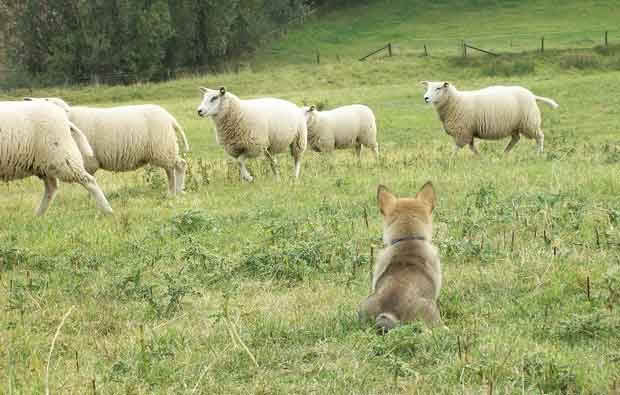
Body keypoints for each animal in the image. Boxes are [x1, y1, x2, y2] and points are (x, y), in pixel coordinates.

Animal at [24, 98, 189, 196]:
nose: (26, 100)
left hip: (163, 148)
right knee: (171, 170)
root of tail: (170, 118)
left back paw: (176, 192)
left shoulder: (88, 161)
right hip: (165, 149)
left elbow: (89, 180)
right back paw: (173, 192)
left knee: (179, 165)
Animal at [422, 81, 556, 155]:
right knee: (515, 139)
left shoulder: (462, 132)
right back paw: (504, 153)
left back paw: (538, 153)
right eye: (427, 88)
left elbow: (456, 148)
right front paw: (480, 158)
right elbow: (472, 147)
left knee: (540, 137)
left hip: (529, 122)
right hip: (515, 125)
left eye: (438, 88)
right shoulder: (468, 132)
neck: (455, 101)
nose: (425, 98)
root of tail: (532, 95)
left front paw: (450, 160)